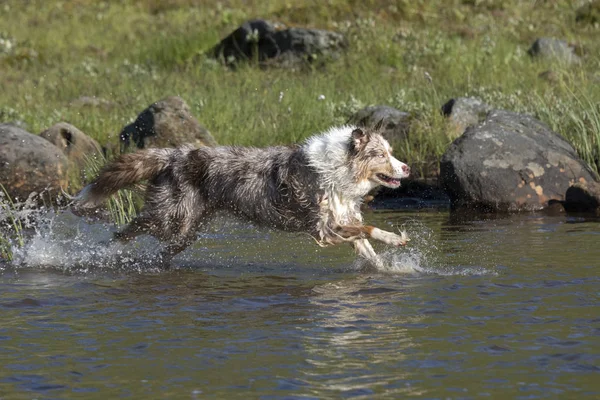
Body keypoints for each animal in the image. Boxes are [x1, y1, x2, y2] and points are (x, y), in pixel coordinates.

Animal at [74, 125, 412, 268]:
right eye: (381, 155)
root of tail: (172, 154)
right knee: (126, 230)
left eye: (391, 152)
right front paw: (396, 238)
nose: (407, 167)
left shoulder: (341, 219)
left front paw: (392, 269)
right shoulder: (324, 227)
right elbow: (369, 228)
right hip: (170, 219)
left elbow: (368, 248)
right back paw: (101, 252)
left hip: (188, 230)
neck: (339, 169)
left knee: (162, 252)